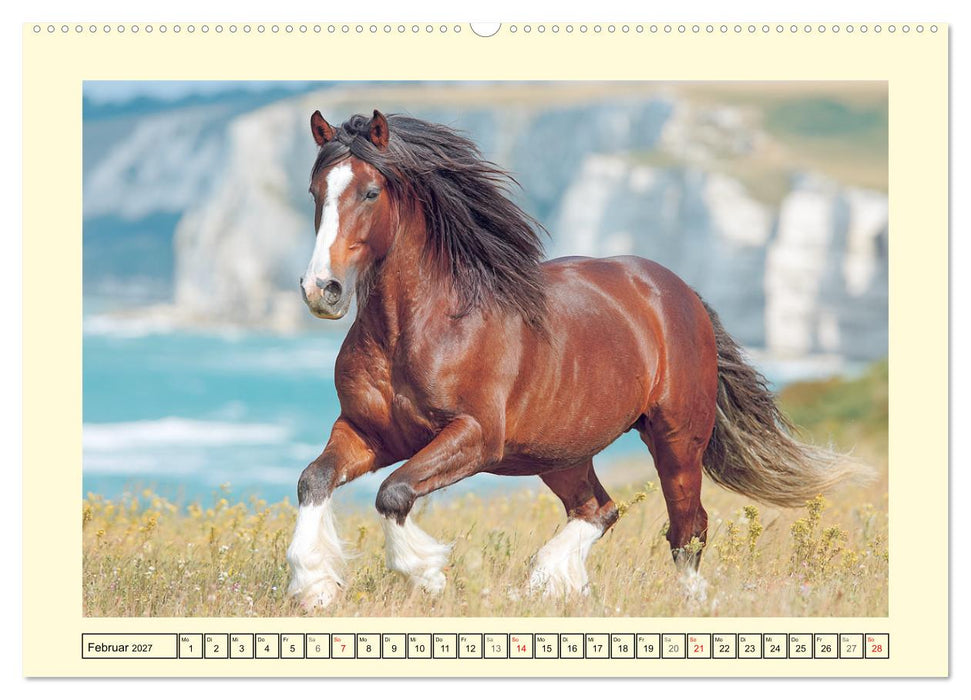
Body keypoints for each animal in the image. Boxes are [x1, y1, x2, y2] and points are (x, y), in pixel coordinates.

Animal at [286, 109, 863, 610]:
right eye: (316, 192)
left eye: (370, 191)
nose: (322, 291)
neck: (419, 328)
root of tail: (678, 291)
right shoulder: (367, 432)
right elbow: (313, 481)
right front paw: (316, 587)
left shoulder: (475, 436)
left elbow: (394, 493)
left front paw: (426, 574)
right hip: (559, 451)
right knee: (599, 509)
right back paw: (551, 582)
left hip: (676, 439)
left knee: (687, 527)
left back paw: (683, 601)